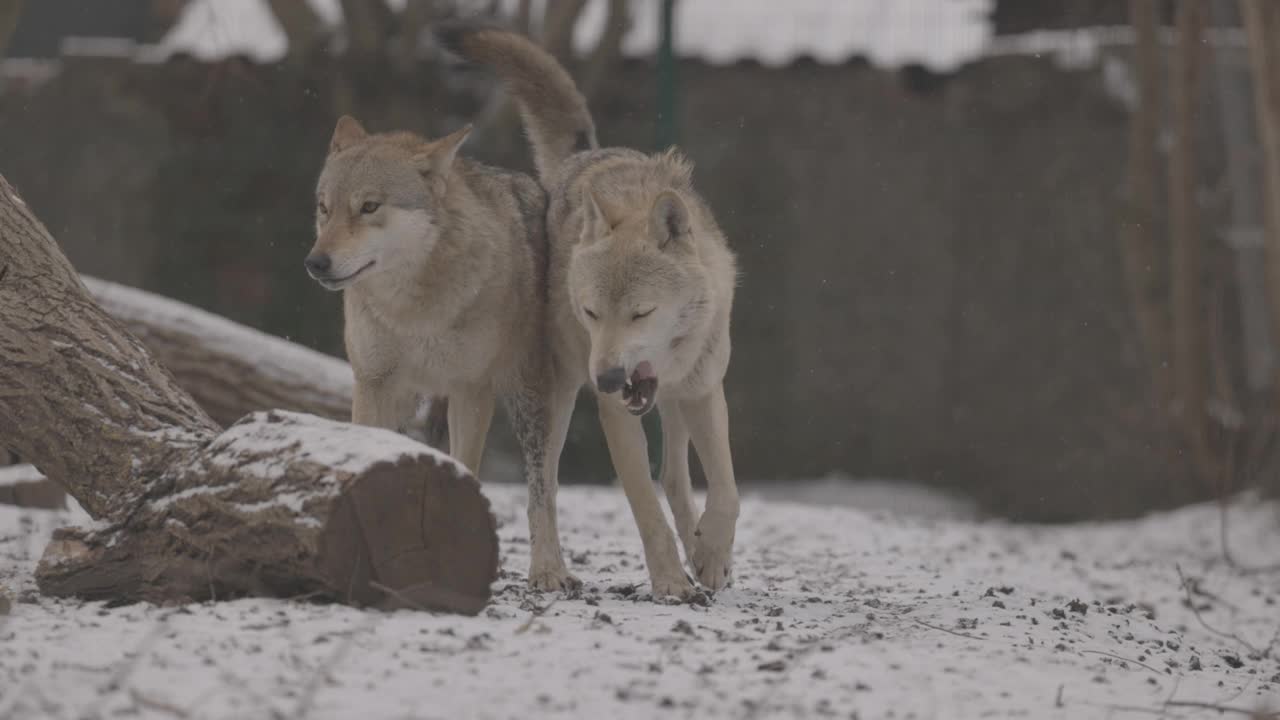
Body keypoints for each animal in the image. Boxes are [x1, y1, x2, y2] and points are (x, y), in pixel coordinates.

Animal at [440, 23, 742, 594]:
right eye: (591, 313)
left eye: (641, 313)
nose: (605, 377)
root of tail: (576, 159)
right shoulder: (614, 413)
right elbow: (645, 508)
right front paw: (671, 581)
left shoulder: (703, 389)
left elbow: (726, 490)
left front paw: (710, 556)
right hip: (552, 397)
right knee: (547, 488)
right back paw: (549, 570)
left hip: (673, 404)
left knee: (674, 475)